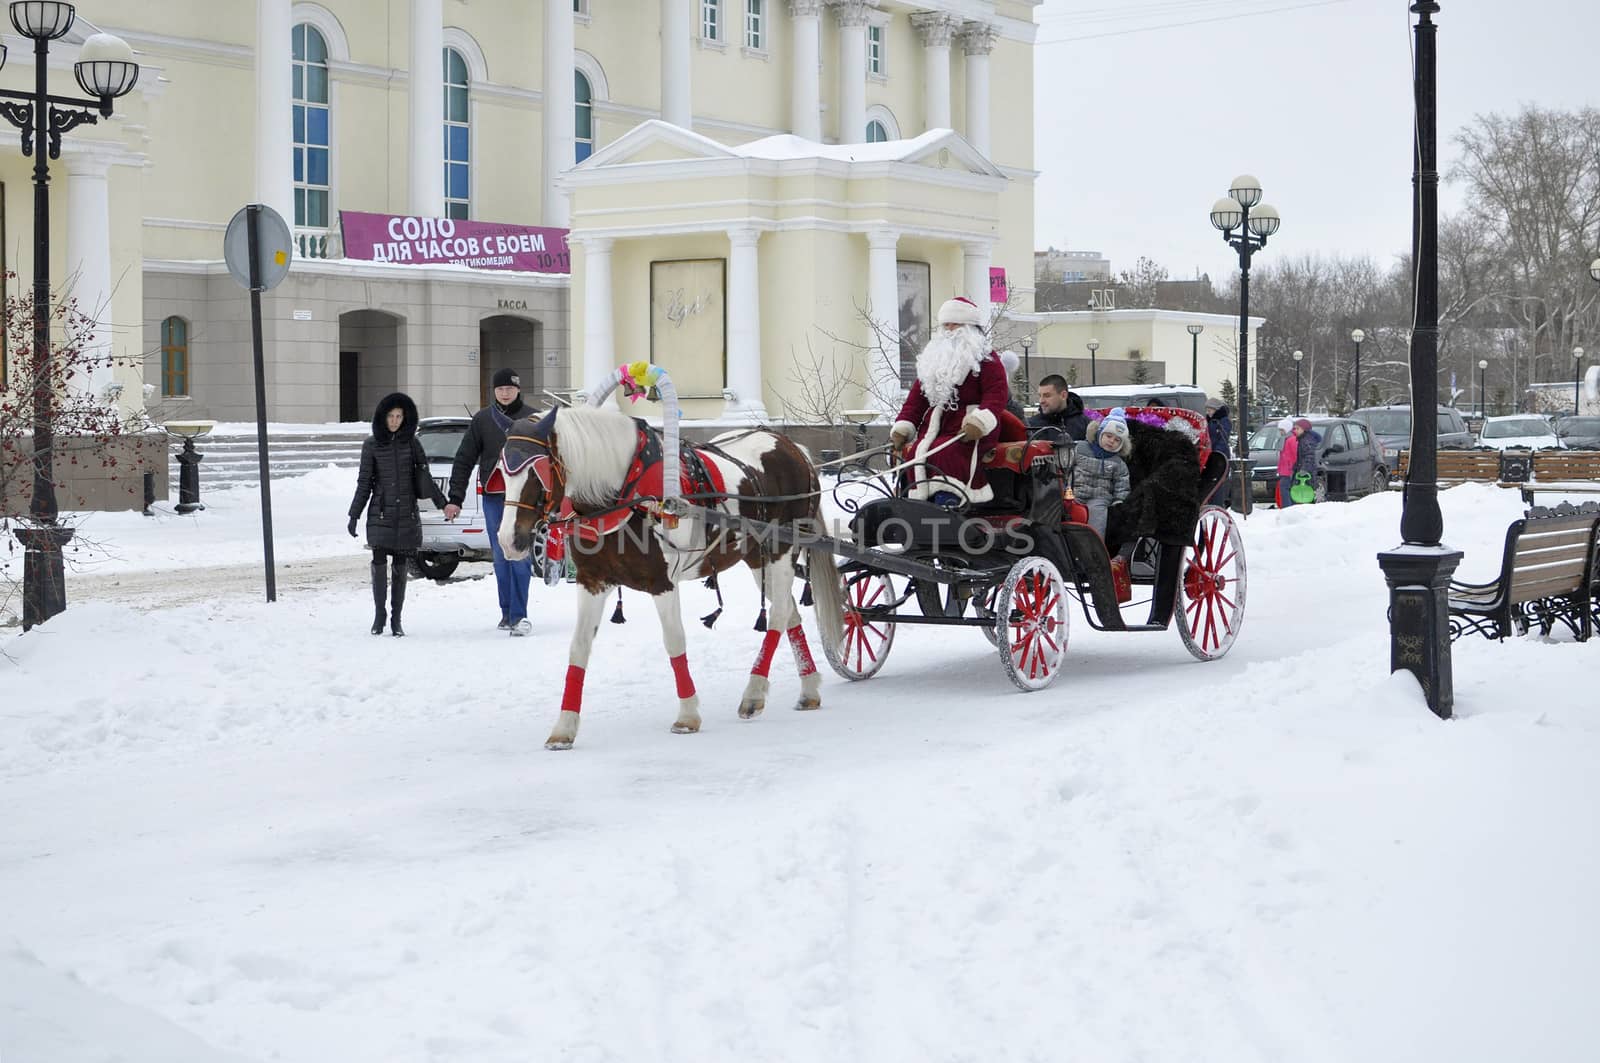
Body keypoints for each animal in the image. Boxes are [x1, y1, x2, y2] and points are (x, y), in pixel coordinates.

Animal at [496, 405, 851, 746]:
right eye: (501, 472)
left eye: (537, 472)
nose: (509, 540)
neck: (627, 491)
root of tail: (793, 448)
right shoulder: (592, 581)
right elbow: (579, 647)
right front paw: (564, 728)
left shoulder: (662, 582)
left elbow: (674, 641)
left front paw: (688, 715)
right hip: (756, 557)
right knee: (789, 612)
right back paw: (808, 688)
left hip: (781, 550)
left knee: (777, 615)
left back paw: (753, 693)